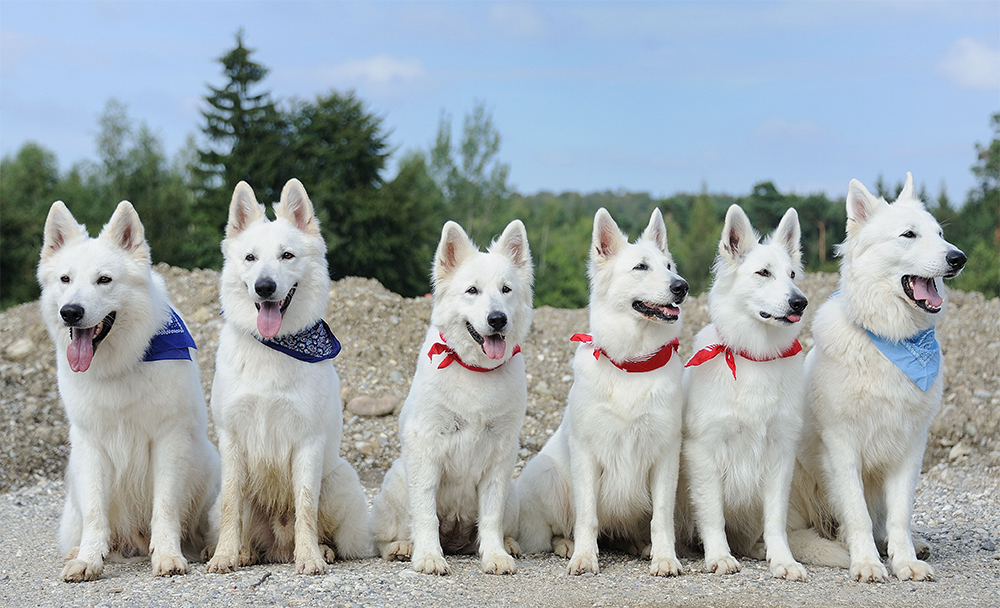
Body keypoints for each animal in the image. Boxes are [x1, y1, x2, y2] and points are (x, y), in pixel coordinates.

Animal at [38, 201, 221, 580]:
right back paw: (81, 551)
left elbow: (165, 507)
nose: (70, 312)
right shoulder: (91, 445)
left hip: (209, 463)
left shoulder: (169, 440)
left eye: (104, 280)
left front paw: (167, 555)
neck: (120, 365)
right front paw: (89, 560)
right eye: (65, 279)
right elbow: (96, 513)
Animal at [368, 220, 536, 576]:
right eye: (472, 291)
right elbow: (425, 513)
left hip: (512, 494)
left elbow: (490, 517)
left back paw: (507, 545)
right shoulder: (427, 446)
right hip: (396, 484)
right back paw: (402, 548)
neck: (475, 370)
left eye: (506, 290)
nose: (497, 319)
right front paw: (429, 557)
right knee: (388, 534)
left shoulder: (500, 455)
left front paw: (495, 555)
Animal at [516, 208, 688, 576]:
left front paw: (665, 557)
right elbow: (587, 516)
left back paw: (640, 546)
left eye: (669, 266)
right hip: (549, 476)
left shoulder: (665, 456)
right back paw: (567, 546)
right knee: (556, 530)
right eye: (641, 267)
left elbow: (661, 518)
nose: (682, 286)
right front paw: (584, 556)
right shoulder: (587, 455)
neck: (630, 365)